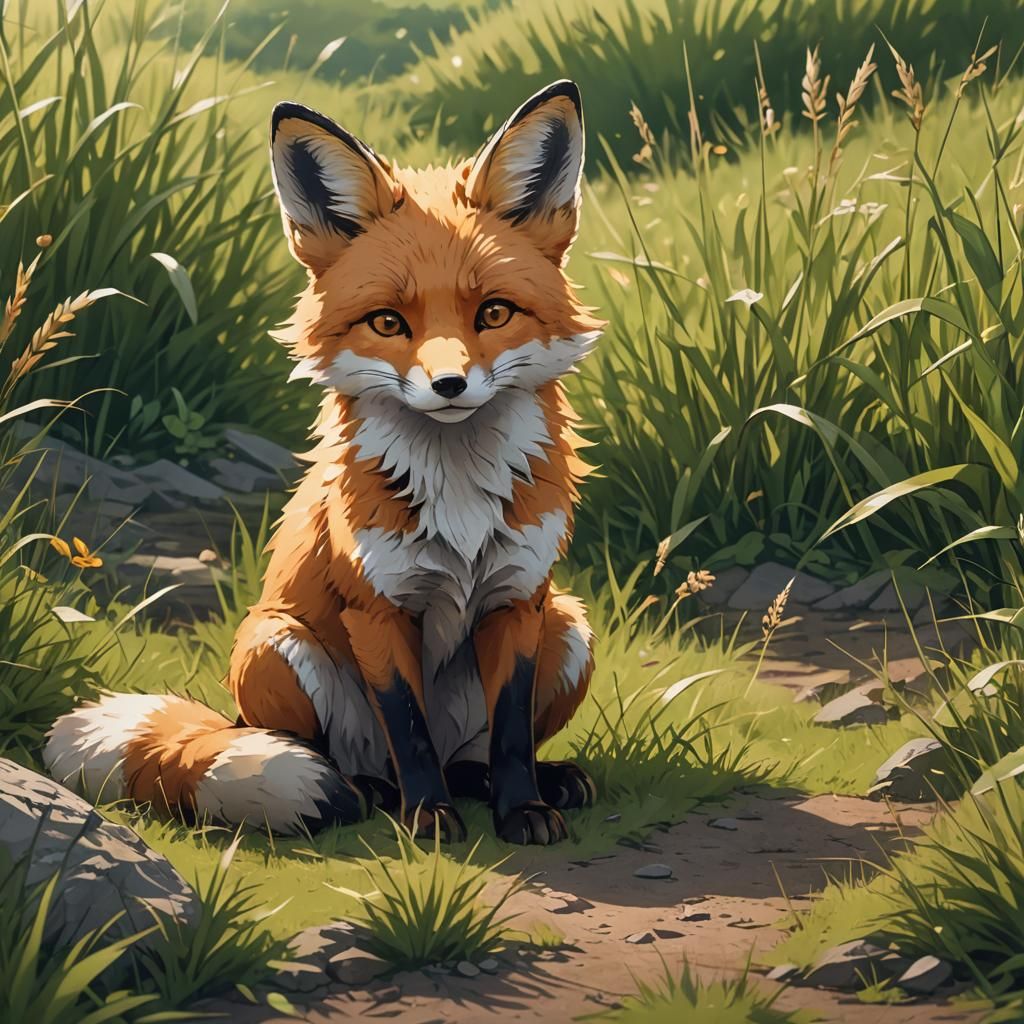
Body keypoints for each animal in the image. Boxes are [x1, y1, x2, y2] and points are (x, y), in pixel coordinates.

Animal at [45, 80, 604, 846]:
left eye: (493, 313)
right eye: (389, 323)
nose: (449, 385)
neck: (457, 497)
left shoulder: (520, 601)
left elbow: (514, 733)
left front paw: (522, 808)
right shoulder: (375, 608)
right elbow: (409, 728)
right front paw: (429, 819)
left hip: (570, 625)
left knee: (472, 755)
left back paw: (521, 781)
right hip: (274, 645)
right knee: (326, 752)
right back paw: (371, 791)